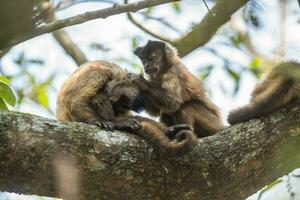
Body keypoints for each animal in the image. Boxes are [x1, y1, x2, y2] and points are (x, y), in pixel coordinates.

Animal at [56, 60, 197, 157]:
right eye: (123, 100)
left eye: (124, 104)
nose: (116, 106)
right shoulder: (97, 71)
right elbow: (74, 100)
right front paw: (99, 121)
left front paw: (169, 130)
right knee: (98, 97)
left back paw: (168, 131)